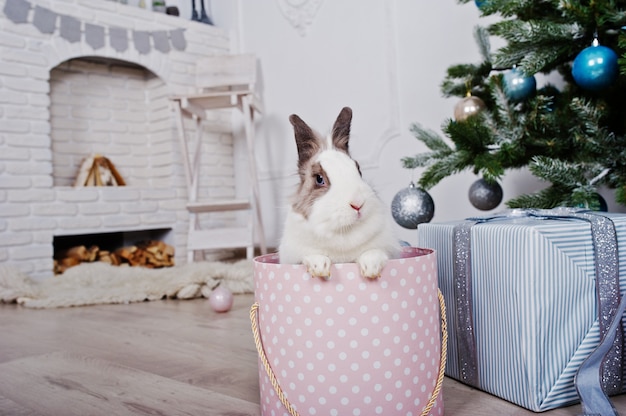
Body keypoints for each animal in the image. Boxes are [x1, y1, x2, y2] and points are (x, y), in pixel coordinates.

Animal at [278, 105, 400, 280]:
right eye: (319, 179)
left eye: (358, 169)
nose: (358, 204)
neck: (344, 230)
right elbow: (312, 255)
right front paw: (319, 267)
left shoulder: (386, 249)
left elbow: (374, 252)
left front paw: (371, 268)